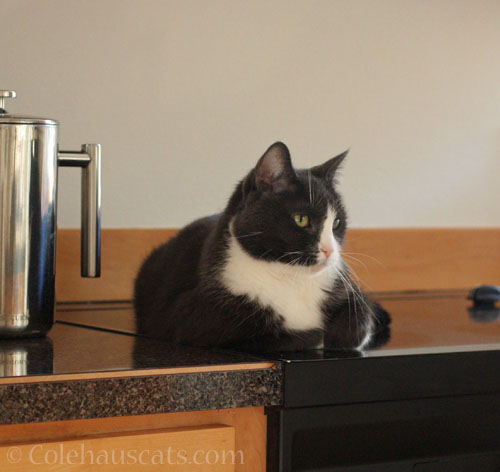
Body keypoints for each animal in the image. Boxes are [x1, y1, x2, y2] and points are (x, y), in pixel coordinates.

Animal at [134, 142, 390, 352]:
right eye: (301, 219)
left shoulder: (346, 288)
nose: (330, 250)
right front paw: (316, 335)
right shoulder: (194, 316)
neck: (291, 279)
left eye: (336, 223)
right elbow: (279, 336)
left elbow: (359, 317)